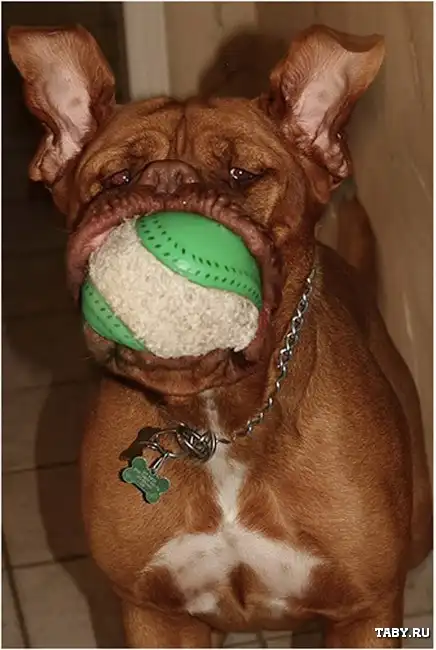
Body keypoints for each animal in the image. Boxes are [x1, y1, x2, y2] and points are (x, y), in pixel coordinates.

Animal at [8, 23, 432, 648]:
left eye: (241, 175)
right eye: (118, 178)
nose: (167, 179)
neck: (217, 427)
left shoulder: (365, 610)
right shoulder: (156, 615)